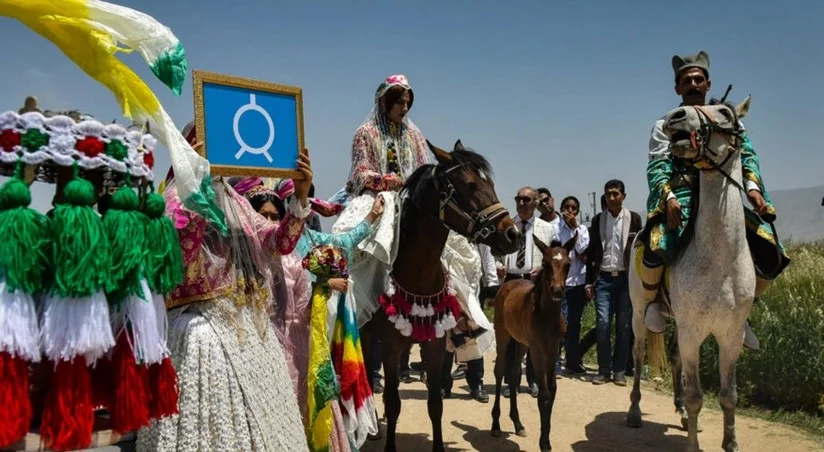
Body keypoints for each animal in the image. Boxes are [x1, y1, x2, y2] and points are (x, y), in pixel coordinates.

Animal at [358, 140, 516, 452]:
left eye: (490, 183)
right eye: (469, 185)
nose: (512, 234)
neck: (418, 273)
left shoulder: (434, 343)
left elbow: (435, 404)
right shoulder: (391, 346)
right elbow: (393, 402)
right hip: (366, 334)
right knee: (370, 378)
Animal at [492, 233, 576, 452]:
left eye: (568, 264)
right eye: (545, 264)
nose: (557, 291)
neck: (546, 316)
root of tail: (506, 284)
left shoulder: (553, 349)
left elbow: (552, 390)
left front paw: (546, 438)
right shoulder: (538, 350)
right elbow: (544, 393)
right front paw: (544, 442)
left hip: (521, 343)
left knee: (513, 374)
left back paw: (518, 423)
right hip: (503, 336)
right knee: (499, 371)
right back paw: (495, 425)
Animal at [628, 96, 756, 452]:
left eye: (725, 112)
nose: (675, 117)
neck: (720, 261)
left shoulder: (730, 335)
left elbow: (728, 395)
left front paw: (731, 443)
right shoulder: (692, 331)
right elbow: (697, 394)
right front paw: (692, 445)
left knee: (674, 360)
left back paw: (682, 413)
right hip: (640, 313)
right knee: (638, 355)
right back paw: (634, 412)